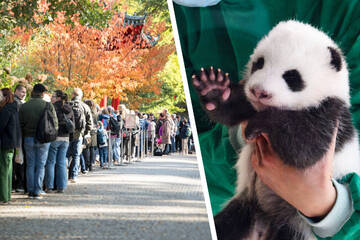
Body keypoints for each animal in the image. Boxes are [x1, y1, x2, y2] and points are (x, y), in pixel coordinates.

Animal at [191, 20, 360, 240]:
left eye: (292, 77)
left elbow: (305, 149)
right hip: (247, 204)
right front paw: (214, 89)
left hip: (295, 224)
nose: (259, 92)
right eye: (259, 63)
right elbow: (232, 110)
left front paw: (260, 124)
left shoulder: (332, 116)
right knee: (227, 224)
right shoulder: (249, 101)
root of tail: (265, 222)